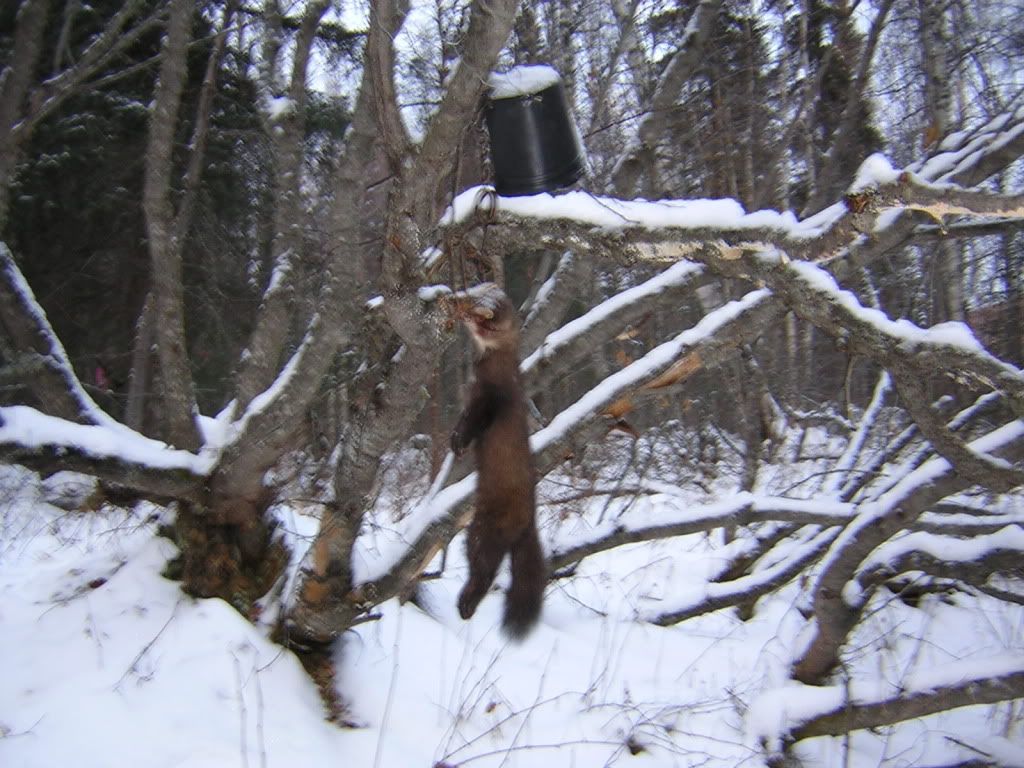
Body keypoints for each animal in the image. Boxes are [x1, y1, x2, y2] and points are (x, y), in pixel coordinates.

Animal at [450, 283, 545, 639]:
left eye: (482, 316)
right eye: (470, 291)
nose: (456, 303)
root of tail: (529, 521)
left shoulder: (490, 401)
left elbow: (474, 425)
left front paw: (460, 445)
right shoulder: (470, 399)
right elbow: (461, 421)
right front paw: (454, 441)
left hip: (486, 529)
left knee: (484, 568)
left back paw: (466, 604)